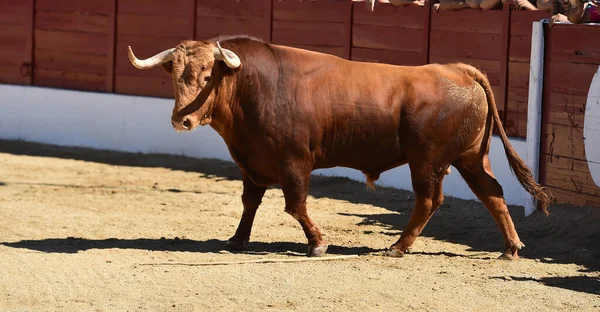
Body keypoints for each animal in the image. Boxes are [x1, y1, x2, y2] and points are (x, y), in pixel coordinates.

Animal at [129, 35, 552, 260]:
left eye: (206, 77)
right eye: (175, 77)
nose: (181, 121)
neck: (250, 85)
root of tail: (460, 70)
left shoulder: (294, 162)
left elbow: (295, 204)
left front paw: (318, 244)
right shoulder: (251, 162)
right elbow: (250, 202)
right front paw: (237, 239)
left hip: (426, 160)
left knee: (430, 200)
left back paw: (398, 246)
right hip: (470, 157)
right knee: (492, 194)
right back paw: (511, 248)